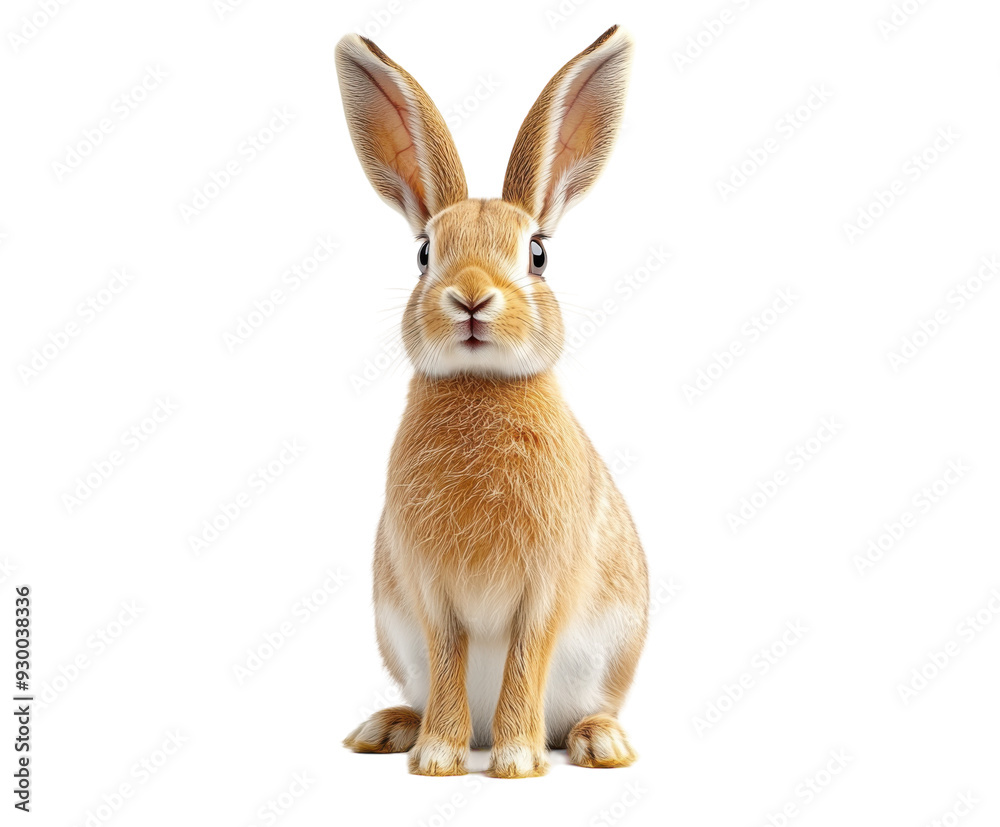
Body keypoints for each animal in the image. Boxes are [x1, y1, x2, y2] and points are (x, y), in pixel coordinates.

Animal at [336, 25, 648, 778]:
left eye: (537, 254)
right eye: (424, 253)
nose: (472, 297)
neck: (481, 388)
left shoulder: (547, 585)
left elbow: (527, 653)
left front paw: (513, 760)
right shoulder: (430, 592)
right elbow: (449, 651)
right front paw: (439, 757)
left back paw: (599, 742)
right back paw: (389, 729)